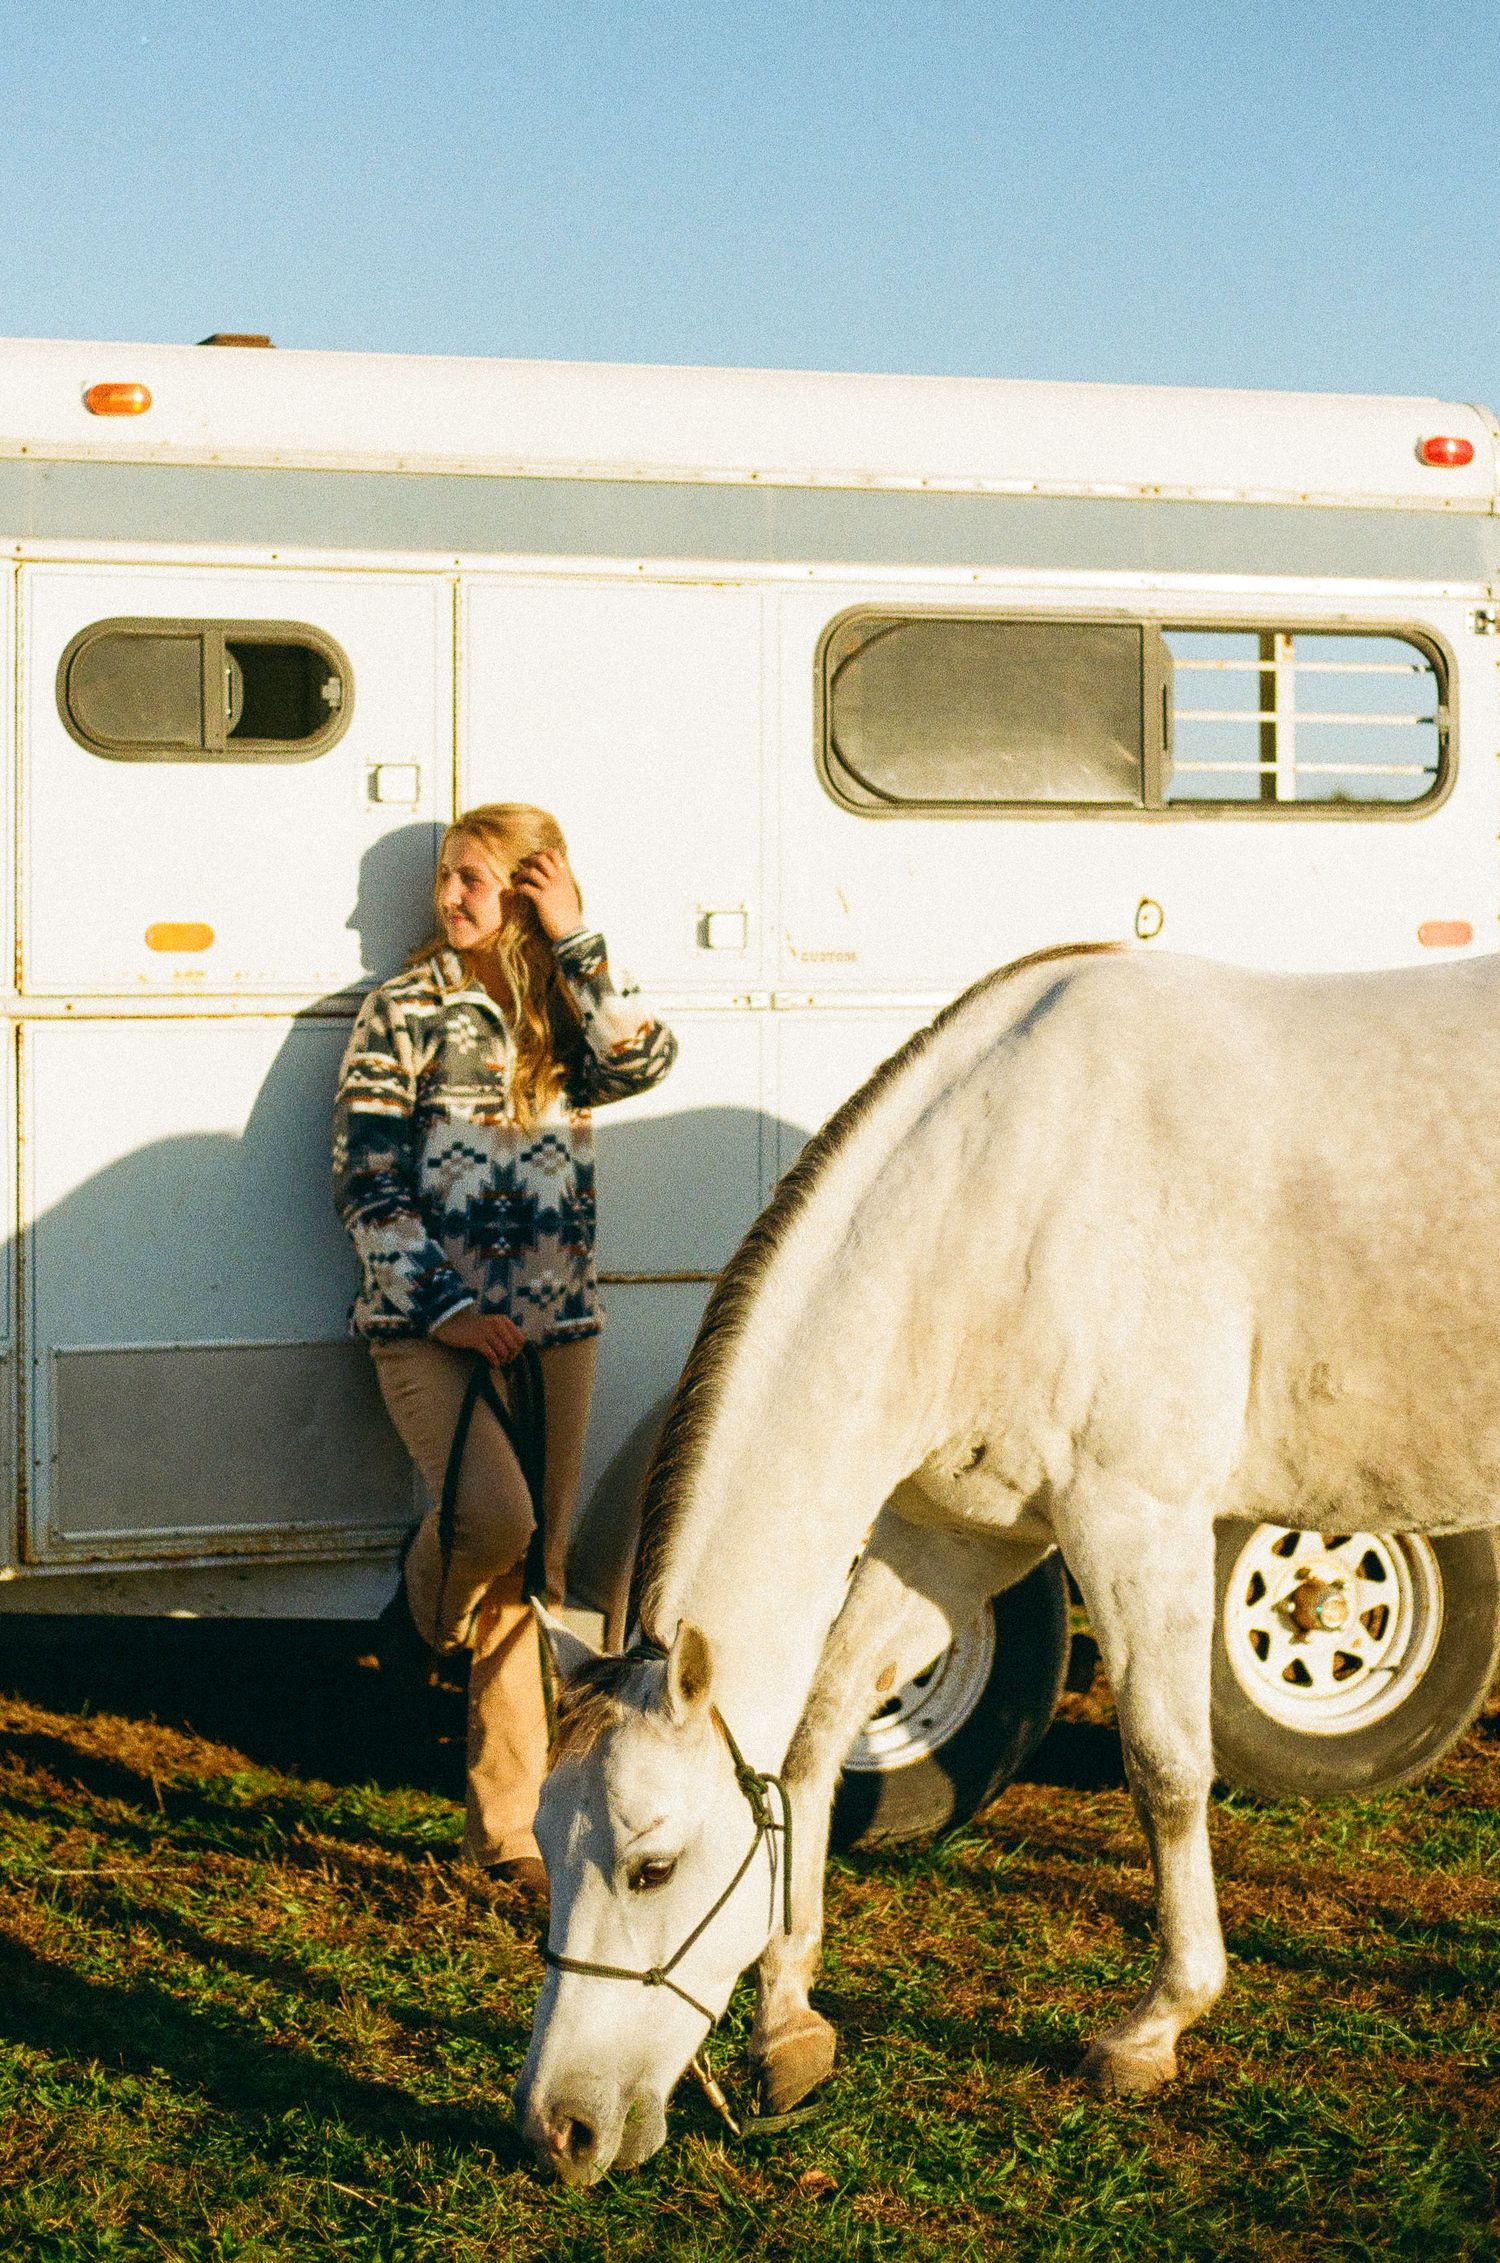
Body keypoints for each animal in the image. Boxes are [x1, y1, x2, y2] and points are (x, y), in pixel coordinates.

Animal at [515, 942, 1500, 2185]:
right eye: (543, 1848)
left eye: (652, 1866)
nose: (557, 2130)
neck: (1006, 1202)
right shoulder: (958, 1538)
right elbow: (817, 1739)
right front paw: (788, 2023)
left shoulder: (1137, 1518)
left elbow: (1166, 1770)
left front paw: (1157, 2024)